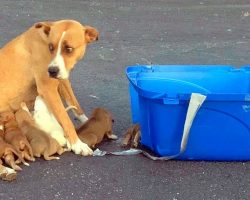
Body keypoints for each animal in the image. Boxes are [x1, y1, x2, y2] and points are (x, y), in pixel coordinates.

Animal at [0, 19, 99, 155]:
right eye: (51, 47)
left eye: (69, 49)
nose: (52, 71)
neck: (44, 39)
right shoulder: (48, 89)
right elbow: (65, 119)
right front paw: (77, 144)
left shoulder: (63, 80)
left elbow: (76, 106)